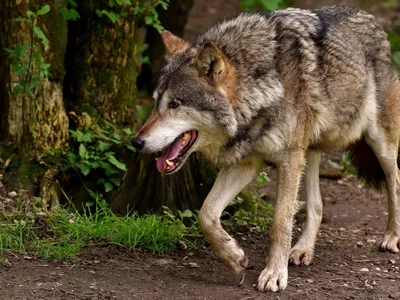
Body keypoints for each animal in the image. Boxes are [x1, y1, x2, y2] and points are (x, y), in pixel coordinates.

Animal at [132, 5, 400, 292]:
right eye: (155, 103)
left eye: (175, 104)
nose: (136, 142)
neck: (261, 87)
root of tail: (372, 21)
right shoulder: (246, 163)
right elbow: (206, 214)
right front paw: (234, 258)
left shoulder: (287, 160)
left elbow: (280, 222)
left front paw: (274, 274)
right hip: (309, 151)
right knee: (316, 205)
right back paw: (303, 250)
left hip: (377, 142)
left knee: (394, 179)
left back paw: (392, 237)